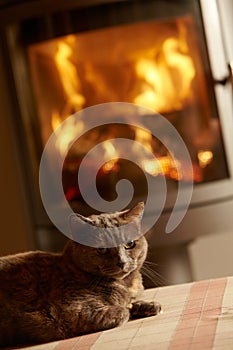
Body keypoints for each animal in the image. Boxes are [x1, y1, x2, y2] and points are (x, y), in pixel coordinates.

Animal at [0, 202, 160, 348]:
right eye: (101, 249)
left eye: (129, 243)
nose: (122, 262)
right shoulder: (73, 311)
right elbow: (123, 311)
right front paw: (133, 307)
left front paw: (146, 305)